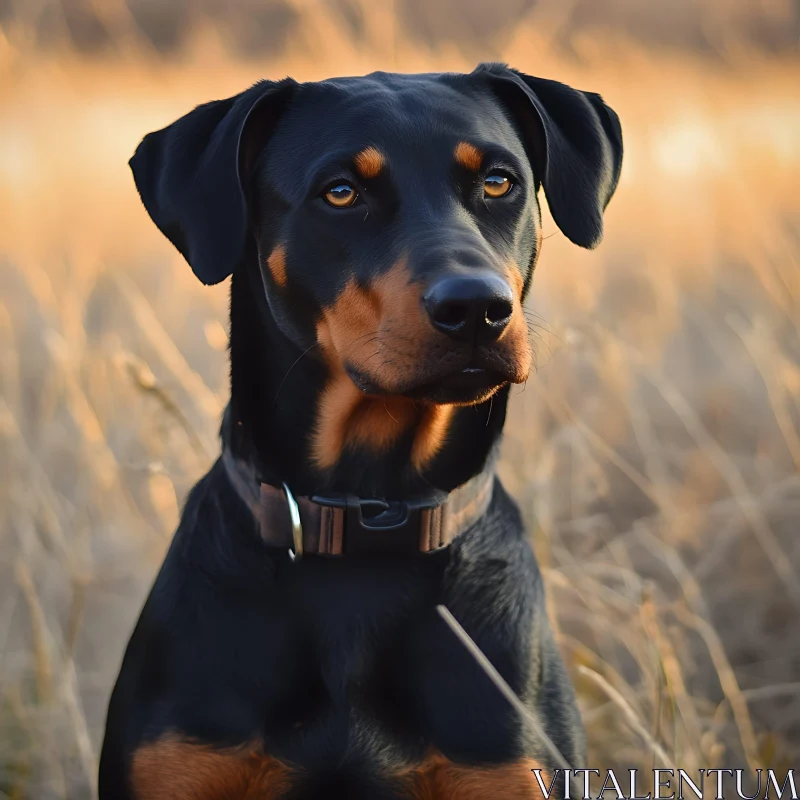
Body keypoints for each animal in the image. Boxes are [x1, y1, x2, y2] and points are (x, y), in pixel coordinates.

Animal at [100, 64, 620, 800]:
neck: (370, 515)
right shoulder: (179, 764)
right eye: (341, 192)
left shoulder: (505, 767)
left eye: (499, 182)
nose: (476, 308)